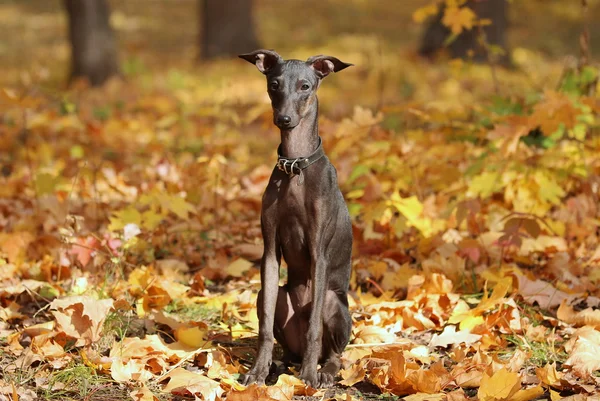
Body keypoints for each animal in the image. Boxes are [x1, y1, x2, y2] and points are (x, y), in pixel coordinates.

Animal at [238, 50, 354, 388]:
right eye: (274, 84)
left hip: (331, 300)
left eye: (305, 86)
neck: (295, 166)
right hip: (278, 298)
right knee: (286, 346)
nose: (284, 119)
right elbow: (263, 328)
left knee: (334, 353)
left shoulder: (319, 253)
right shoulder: (269, 252)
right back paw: (278, 366)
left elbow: (315, 327)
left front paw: (309, 376)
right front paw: (257, 371)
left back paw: (322, 371)